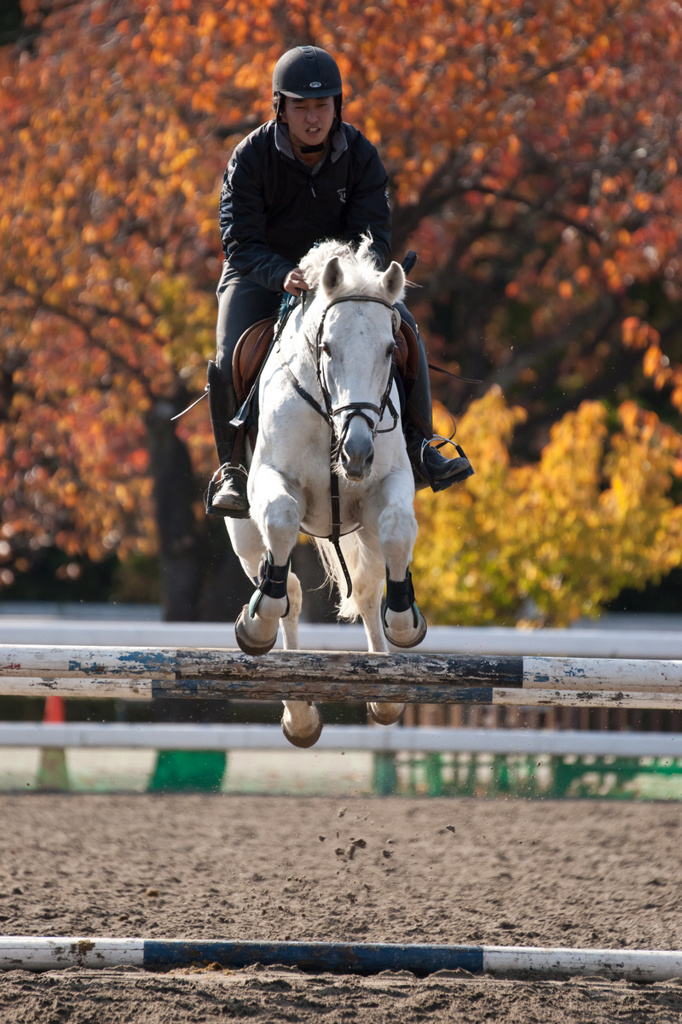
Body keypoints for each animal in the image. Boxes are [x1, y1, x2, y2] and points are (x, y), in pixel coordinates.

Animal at [225, 241, 425, 753]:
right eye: (327, 347)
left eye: (392, 349)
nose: (357, 453)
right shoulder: (270, 481)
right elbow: (280, 517)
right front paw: (256, 622)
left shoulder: (388, 483)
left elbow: (397, 532)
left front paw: (404, 622)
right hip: (241, 528)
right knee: (286, 589)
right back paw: (298, 712)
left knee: (370, 586)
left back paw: (384, 691)